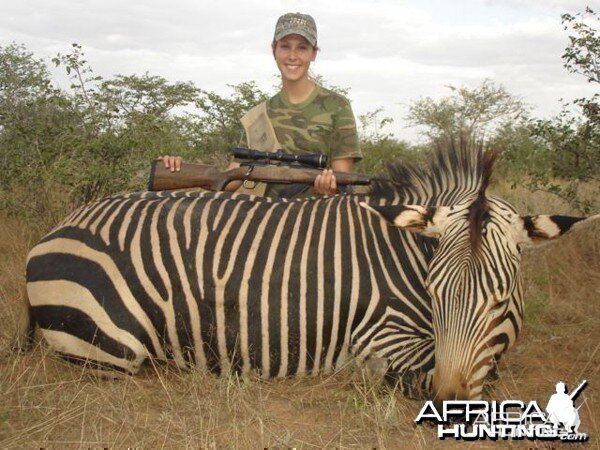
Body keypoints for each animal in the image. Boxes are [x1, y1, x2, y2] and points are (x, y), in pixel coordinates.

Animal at [24, 144, 592, 400]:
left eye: (502, 298)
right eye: (434, 293)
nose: (446, 402)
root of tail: (54, 231)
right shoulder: (381, 338)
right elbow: (458, 372)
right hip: (112, 350)